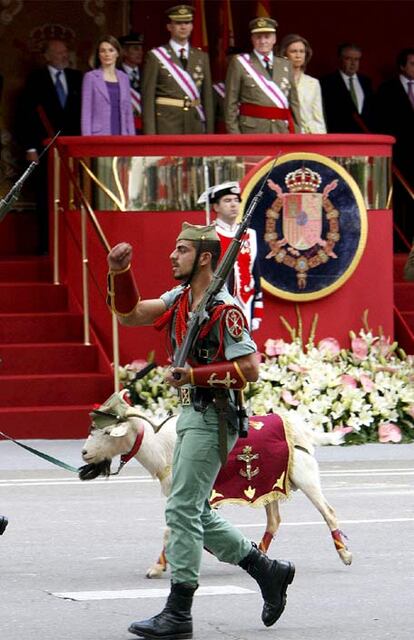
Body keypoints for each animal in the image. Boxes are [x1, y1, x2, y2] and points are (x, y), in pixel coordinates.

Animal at [80, 396, 352, 576]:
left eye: (106, 433)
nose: (83, 453)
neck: (161, 445)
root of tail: (302, 428)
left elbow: (171, 529)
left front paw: (157, 567)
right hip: (271, 485)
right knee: (274, 520)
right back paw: (260, 555)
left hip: (305, 476)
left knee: (328, 512)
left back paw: (345, 554)